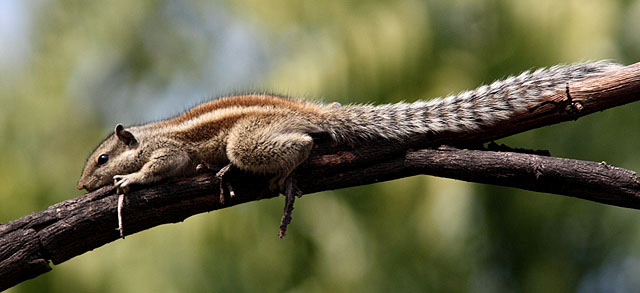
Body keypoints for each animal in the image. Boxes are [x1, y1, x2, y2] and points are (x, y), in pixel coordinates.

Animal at [75, 60, 620, 235]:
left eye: (101, 158)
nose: (80, 185)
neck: (147, 134)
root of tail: (318, 112)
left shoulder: (170, 150)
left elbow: (164, 165)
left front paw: (129, 180)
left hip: (247, 139)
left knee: (300, 143)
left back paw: (282, 170)